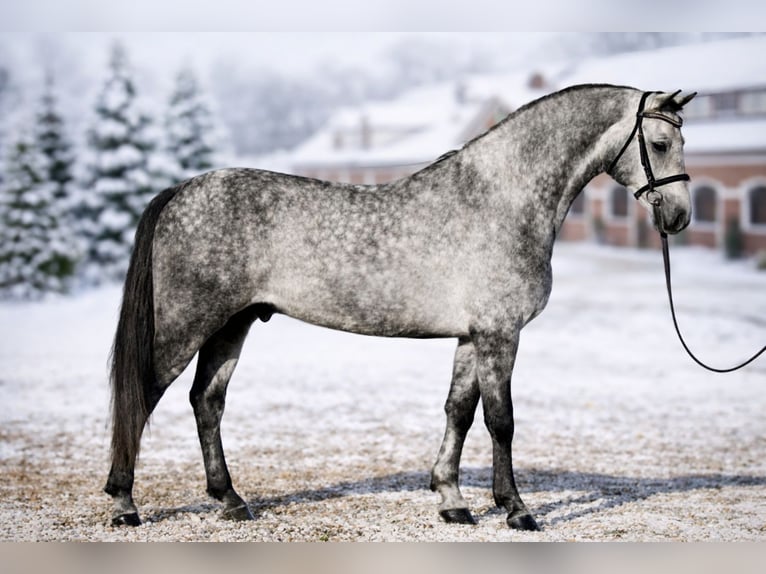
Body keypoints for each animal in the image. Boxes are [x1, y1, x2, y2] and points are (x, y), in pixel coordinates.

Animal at [105, 84, 696, 531]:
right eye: (661, 141)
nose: (680, 216)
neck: (501, 199)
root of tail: (182, 191)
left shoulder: (471, 336)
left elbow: (459, 412)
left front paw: (452, 501)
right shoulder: (500, 334)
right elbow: (501, 421)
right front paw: (516, 510)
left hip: (232, 324)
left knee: (206, 401)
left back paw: (230, 500)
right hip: (185, 325)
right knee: (143, 395)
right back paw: (124, 503)